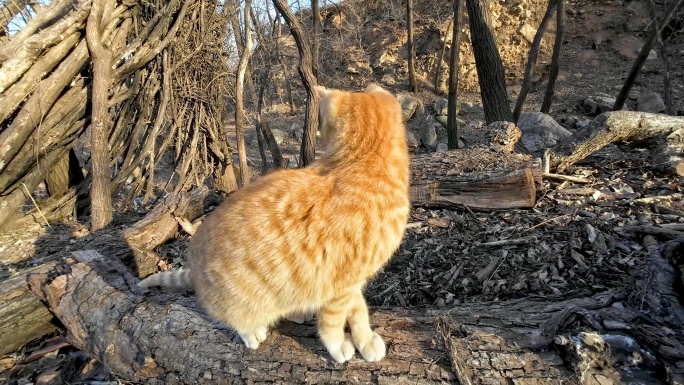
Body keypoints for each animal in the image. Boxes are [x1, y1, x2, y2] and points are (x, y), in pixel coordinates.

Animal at [138, 82, 406, 362]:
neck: (363, 160)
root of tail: (194, 265)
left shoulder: (351, 283)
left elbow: (358, 309)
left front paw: (364, 338)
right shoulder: (340, 285)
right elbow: (332, 321)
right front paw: (337, 345)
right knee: (237, 318)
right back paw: (253, 331)